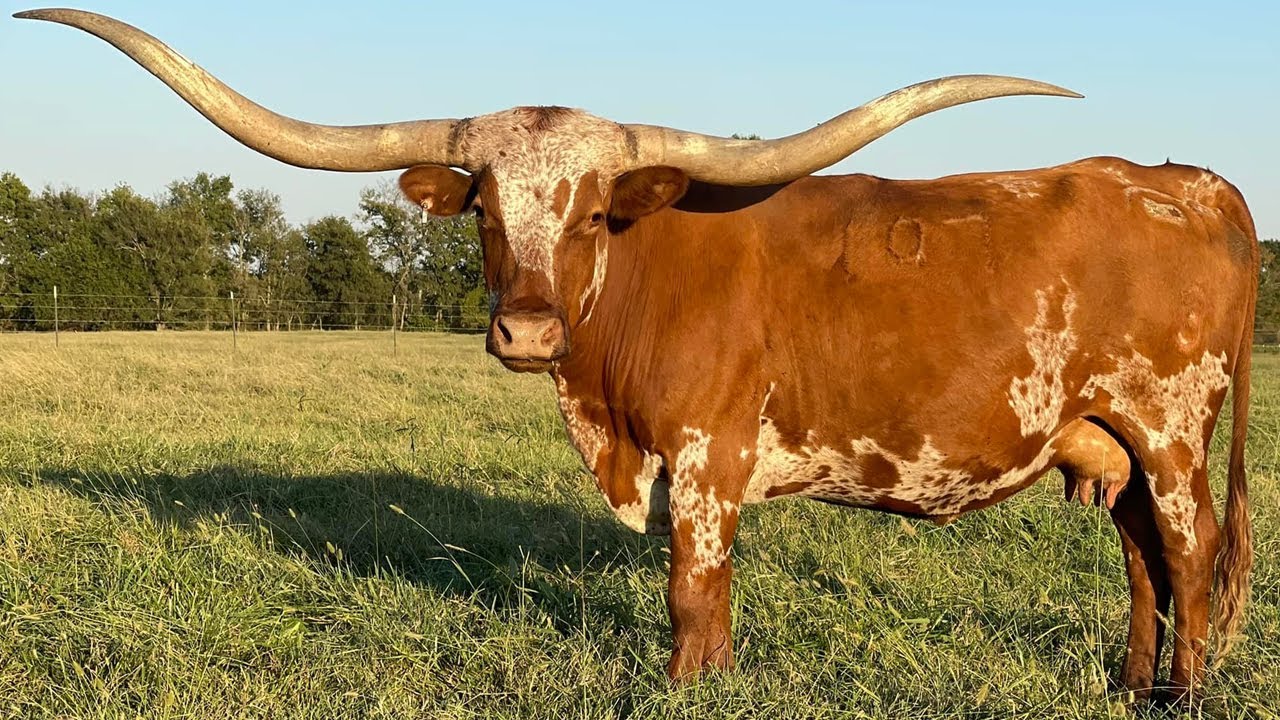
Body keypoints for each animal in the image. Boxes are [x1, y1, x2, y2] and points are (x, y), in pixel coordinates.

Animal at [17, 9, 1256, 702]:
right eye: (483, 209)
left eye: (589, 212)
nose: (524, 330)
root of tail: (1189, 181)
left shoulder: (706, 458)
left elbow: (691, 595)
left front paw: (684, 690)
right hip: (1110, 443)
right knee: (1142, 560)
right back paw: (1130, 689)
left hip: (1170, 429)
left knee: (1188, 557)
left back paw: (1185, 695)